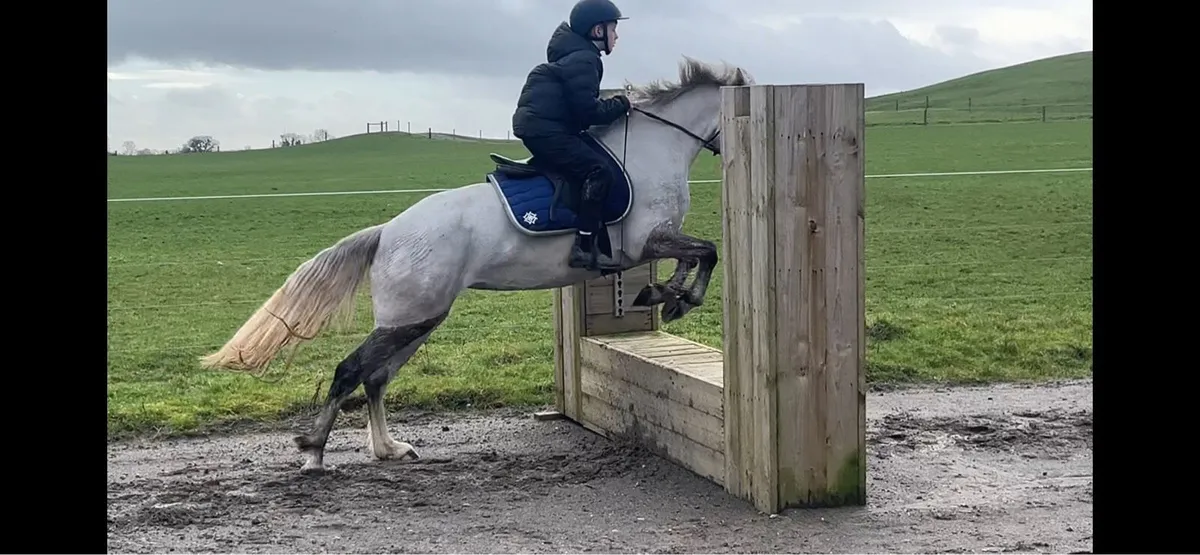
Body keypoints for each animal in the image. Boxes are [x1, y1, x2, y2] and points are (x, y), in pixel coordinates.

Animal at [199, 57, 752, 474]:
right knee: (351, 370)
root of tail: (387, 233)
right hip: (411, 318)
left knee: (375, 378)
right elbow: (706, 250)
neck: (653, 148)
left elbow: (696, 254)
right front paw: (677, 298)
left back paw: (388, 449)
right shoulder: (648, 242)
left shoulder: (654, 245)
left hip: (418, 320)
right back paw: (314, 451)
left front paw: (667, 295)